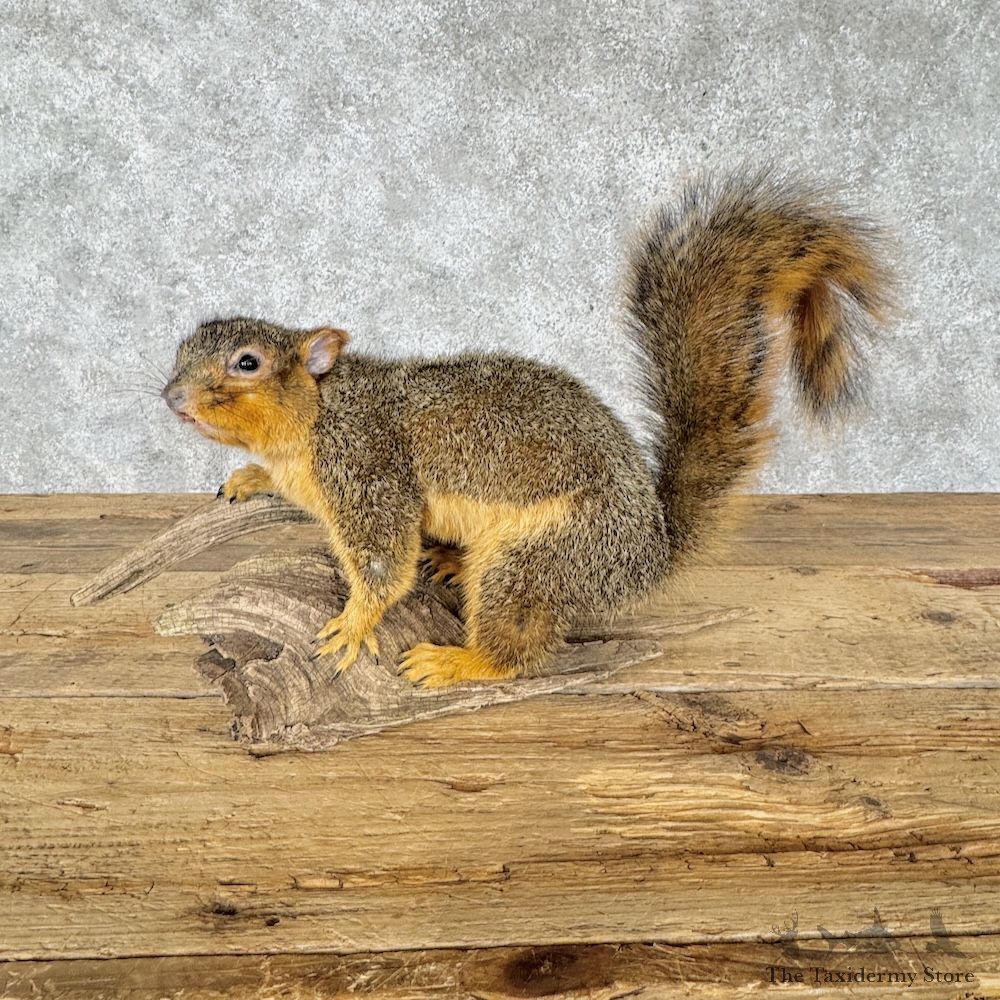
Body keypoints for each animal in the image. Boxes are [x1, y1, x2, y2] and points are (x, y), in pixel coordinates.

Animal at [161, 170, 892, 688]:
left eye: (247, 362)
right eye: (182, 349)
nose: (172, 398)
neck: (311, 422)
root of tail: (649, 554)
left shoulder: (368, 468)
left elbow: (383, 562)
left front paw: (353, 623)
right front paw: (247, 477)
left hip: (541, 557)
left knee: (520, 646)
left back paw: (462, 663)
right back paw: (450, 561)